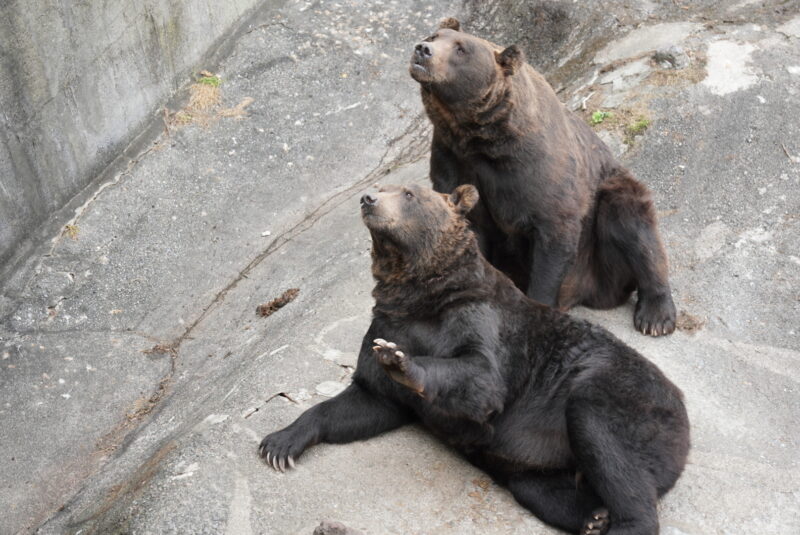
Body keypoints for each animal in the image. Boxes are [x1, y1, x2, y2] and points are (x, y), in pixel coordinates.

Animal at [260, 184, 692, 535]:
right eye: (383, 188)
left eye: (408, 193)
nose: (367, 198)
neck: (419, 293)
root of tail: (684, 418)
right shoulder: (390, 321)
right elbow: (367, 400)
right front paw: (279, 443)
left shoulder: (479, 319)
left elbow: (480, 377)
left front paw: (401, 362)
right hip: (538, 458)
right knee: (541, 486)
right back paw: (593, 517)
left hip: (624, 394)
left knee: (607, 445)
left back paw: (623, 521)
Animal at [410, 18, 680, 338]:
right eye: (434, 36)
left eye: (461, 48)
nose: (422, 49)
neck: (481, 138)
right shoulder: (452, 158)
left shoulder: (536, 172)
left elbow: (553, 232)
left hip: (607, 208)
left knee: (633, 225)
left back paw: (655, 315)